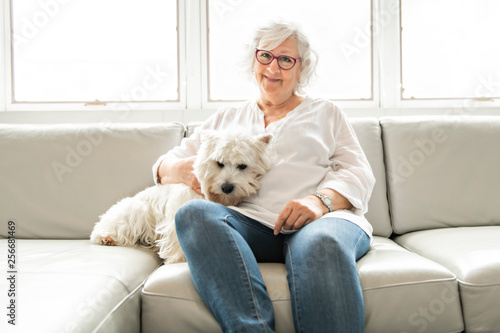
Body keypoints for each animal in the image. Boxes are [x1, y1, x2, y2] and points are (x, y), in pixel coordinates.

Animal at [88, 131, 272, 264]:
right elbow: (175, 238)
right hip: (138, 210)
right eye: (219, 163)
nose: (226, 187)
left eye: (242, 166)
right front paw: (178, 260)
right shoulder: (176, 214)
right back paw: (107, 238)